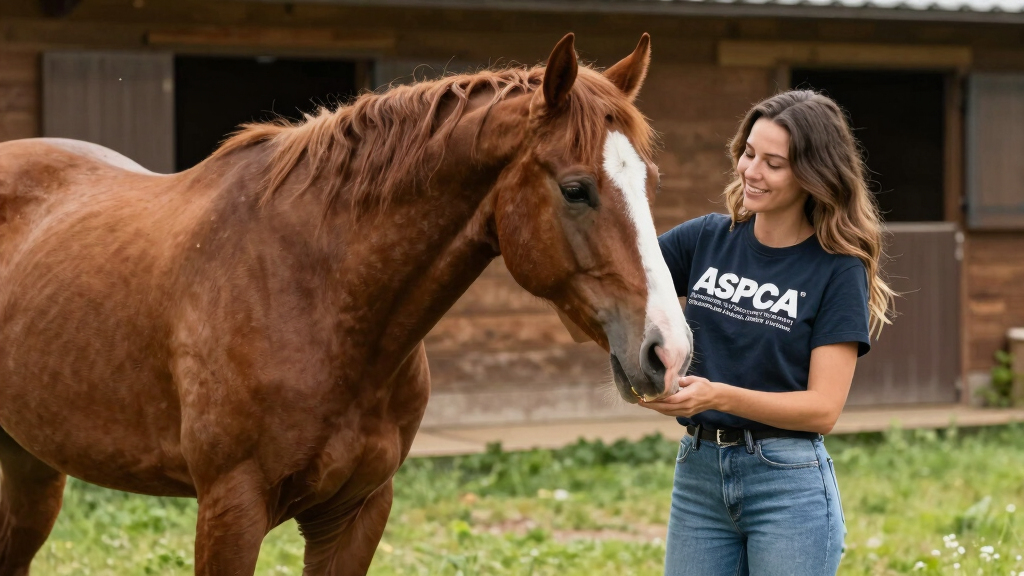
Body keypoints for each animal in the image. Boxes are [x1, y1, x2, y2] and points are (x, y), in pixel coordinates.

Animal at [0, 33, 691, 575]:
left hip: (32, 467)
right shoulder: (230, 509)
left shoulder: (358, 511)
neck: (315, 299)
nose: (669, 350)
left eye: (652, 182)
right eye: (576, 189)